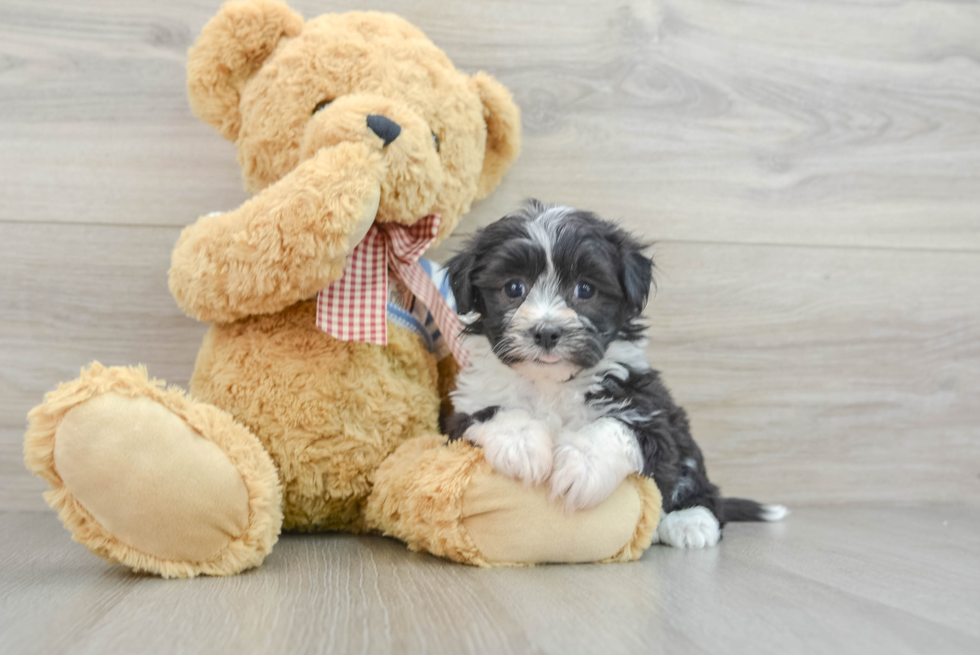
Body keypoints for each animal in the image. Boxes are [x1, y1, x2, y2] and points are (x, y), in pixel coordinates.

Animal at [440, 200, 784, 548]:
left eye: (585, 289)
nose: (547, 332)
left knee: (699, 485)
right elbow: (492, 412)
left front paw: (581, 466)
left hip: (683, 441)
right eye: (513, 287)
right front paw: (522, 443)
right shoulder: (460, 414)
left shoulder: (649, 410)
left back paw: (691, 521)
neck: (552, 384)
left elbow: (615, 426)